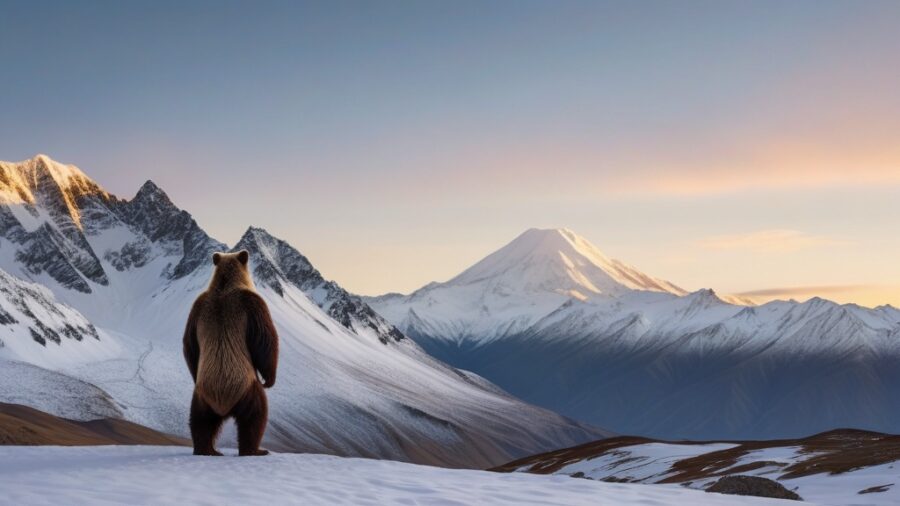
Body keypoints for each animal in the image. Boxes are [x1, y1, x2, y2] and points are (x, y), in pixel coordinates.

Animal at [182, 249, 278, 456]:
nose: (267, 381)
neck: (224, 286)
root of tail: (223, 403)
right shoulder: (253, 305)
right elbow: (266, 339)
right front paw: (270, 379)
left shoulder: (196, 308)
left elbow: (190, 345)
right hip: (247, 387)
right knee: (255, 417)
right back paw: (255, 449)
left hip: (202, 397)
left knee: (200, 422)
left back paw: (207, 449)